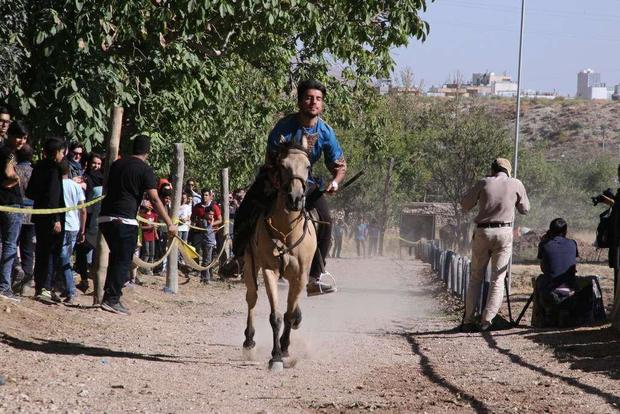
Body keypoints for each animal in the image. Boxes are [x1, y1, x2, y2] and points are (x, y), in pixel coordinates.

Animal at [242, 137, 318, 370]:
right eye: (283, 166)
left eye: (308, 166)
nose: (295, 198)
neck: (287, 231)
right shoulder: (269, 271)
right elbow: (275, 316)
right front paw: (275, 356)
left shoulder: (300, 276)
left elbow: (289, 314)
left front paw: (284, 348)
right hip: (250, 265)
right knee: (252, 298)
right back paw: (249, 341)